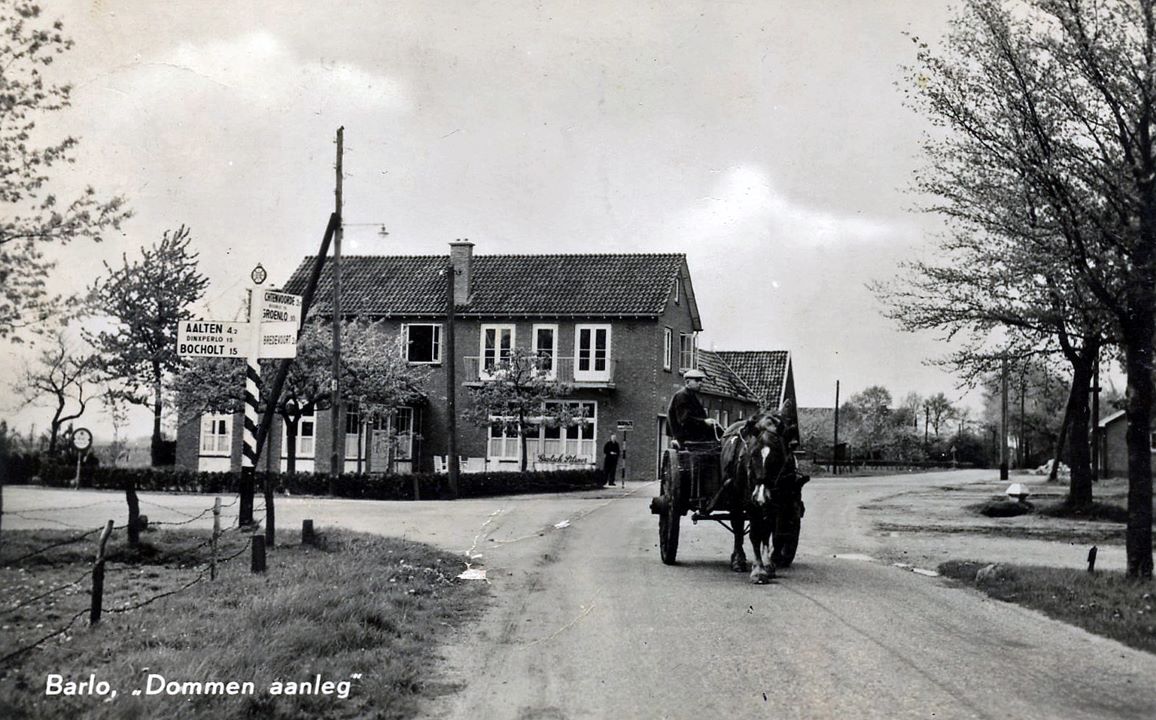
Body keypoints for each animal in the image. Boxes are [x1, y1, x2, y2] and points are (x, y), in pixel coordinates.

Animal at [716, 411, 799, 587]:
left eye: (777, 456)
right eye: (752, 455)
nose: (760, 496)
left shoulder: (776, 502)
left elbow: (767, 532)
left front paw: (767, 565)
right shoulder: (750, 503)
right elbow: (754, 534)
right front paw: (758, 572)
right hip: (735, 499)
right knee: (738, 527)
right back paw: (738, 560)